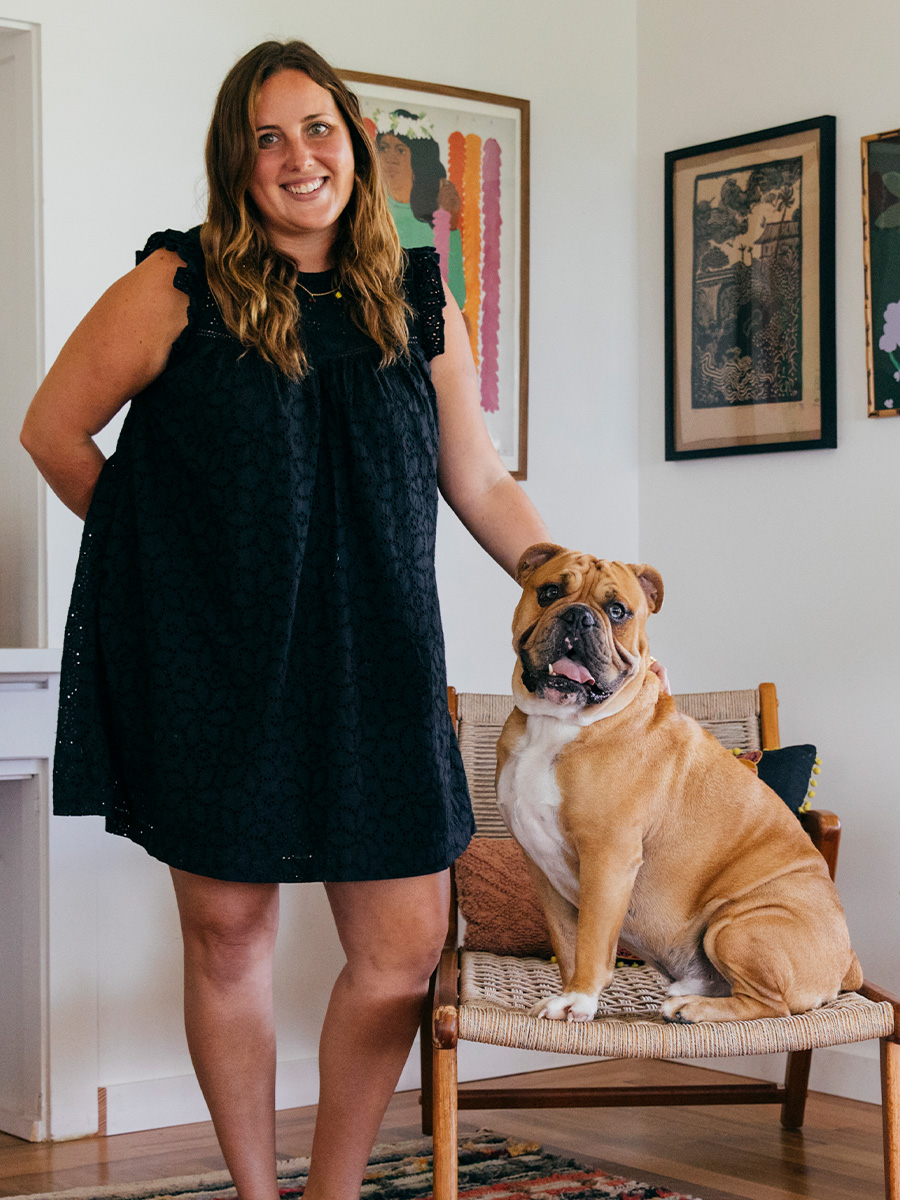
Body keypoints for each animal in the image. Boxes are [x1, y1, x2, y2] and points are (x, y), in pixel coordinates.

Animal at [496, 544, 864, 1022]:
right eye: (550, 592)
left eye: (618, 611)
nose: (578, 616)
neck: (559, 723)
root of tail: (848, 961)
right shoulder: (543, 869)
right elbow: (569, 942)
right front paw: (570, 994)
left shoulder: (608, 857)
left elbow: (592, 941)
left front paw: (579, 999)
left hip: (736, 926)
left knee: (771, 1005)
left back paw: (692, 1008)